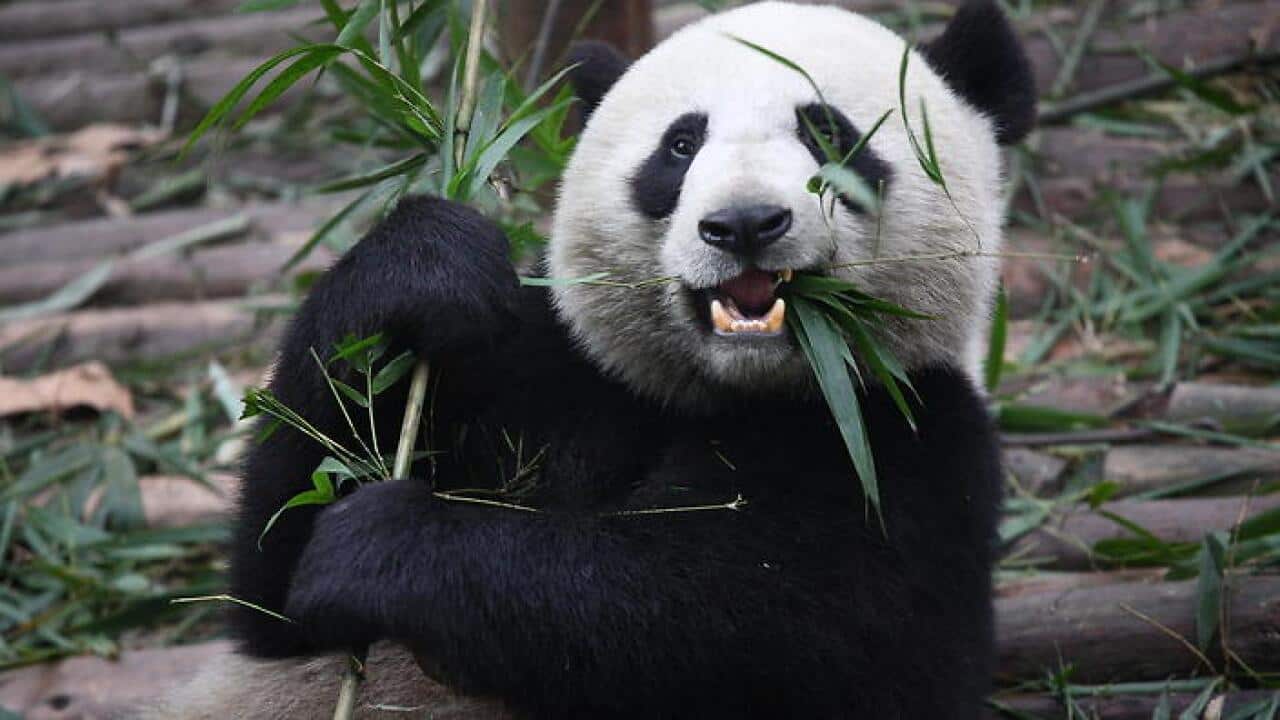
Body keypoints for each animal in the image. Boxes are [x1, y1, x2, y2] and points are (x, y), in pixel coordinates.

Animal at [147, 1, 1035, 717]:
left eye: (828, 134)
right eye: (681, 145)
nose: (744, 223)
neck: (723, 392)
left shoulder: (908, 447)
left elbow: (710, 618)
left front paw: (382, 545)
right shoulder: (551, 368)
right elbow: (275, 586)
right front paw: (424, 269)